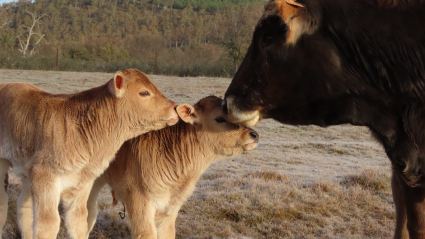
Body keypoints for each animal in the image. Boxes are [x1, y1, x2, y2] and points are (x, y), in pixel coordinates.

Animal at [0, 69, 177, 239]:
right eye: (144, 92)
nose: (175, 107)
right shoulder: (45, 176)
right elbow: (48, 224)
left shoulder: (82, 182)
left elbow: (78, 221)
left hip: (27, 170)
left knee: (24, 206)